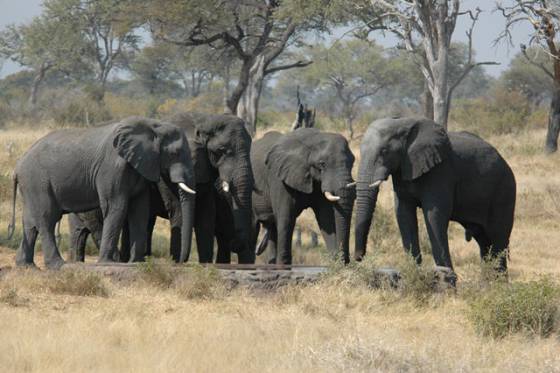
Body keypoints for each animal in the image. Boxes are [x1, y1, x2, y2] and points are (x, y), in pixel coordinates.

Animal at [8, 116, 198, 268]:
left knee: (30, 221)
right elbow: (117, 207)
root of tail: (17, 167)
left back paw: (27, 266)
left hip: (31, 185)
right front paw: (108, 263)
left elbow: (140, 210)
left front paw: (136, 263)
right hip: (37, 181)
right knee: (47, 218)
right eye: (175, 153)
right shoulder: (112, 167)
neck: (153, 124)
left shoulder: (140, 167)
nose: (179, 262)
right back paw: (57, 265)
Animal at [65, 112, 254, 264]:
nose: (236, 243)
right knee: (98, 224)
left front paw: (205, 264)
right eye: (221, 150)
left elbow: (206, 214)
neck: (202, 119)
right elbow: (178, 209)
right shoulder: (165, 175)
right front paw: (177, 261)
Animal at [253, 128, 356, 264]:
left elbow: (326, 218)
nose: (347, 260)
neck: (313, 139)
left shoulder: (318, 183)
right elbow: (286, 218)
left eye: (353, 162)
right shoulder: (278, 178)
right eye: (322, 164)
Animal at [354, 117, 516, 272]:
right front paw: (414, 271)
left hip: (505, 190)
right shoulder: (402, 170)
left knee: (498, 239)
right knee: (485, 243)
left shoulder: (441, 171)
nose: (358, 258)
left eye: (384, 151)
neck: (402, 122)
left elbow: (434, 216)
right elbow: (403, 214)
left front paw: (446, 275)